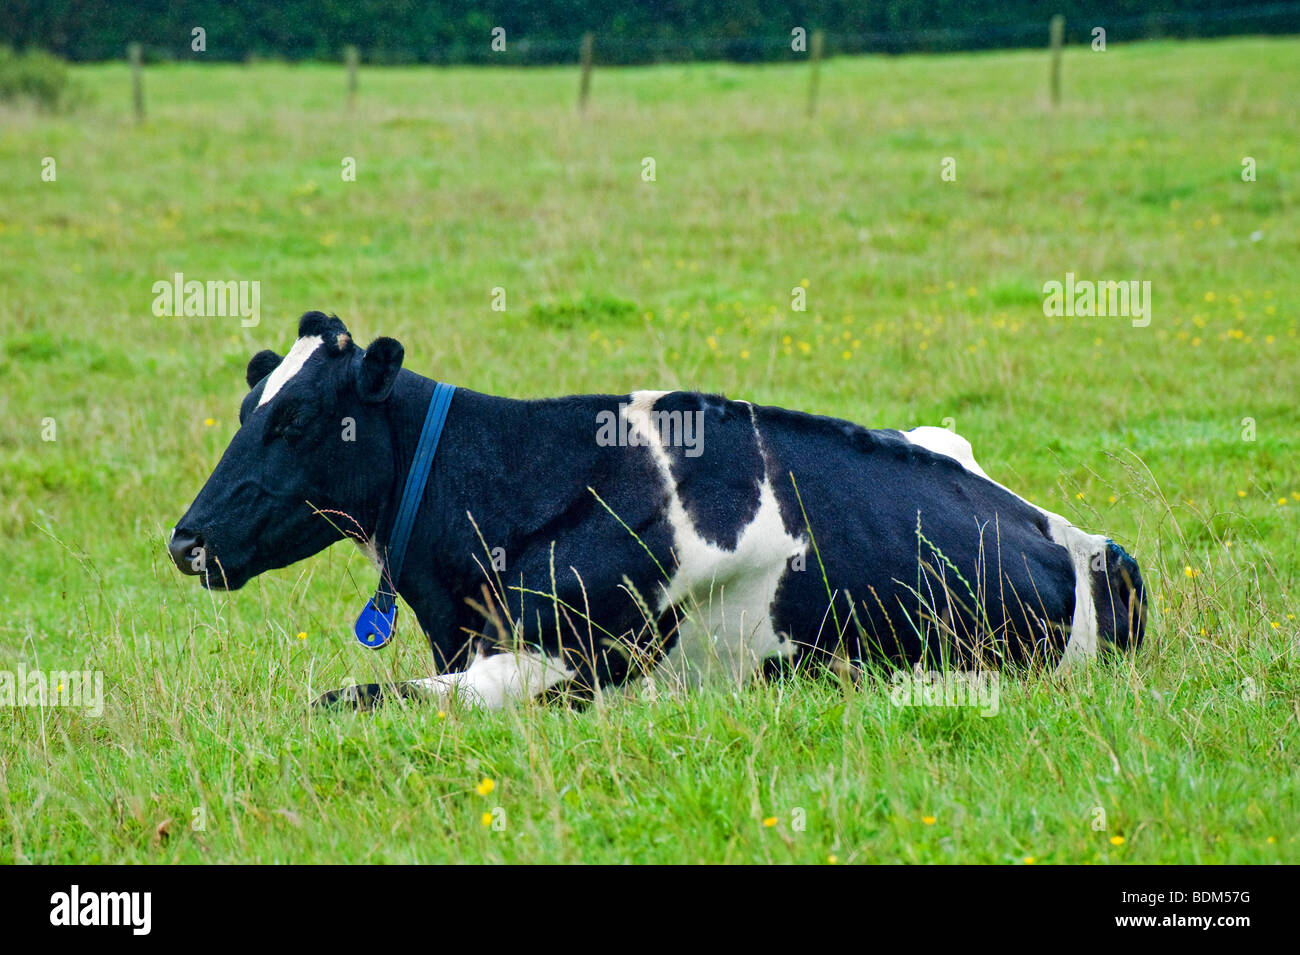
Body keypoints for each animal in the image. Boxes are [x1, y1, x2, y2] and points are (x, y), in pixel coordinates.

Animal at [168, 312, 1146, 709]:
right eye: (248, 407)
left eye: (295, 418)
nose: (186, 539)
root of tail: (1092, 542)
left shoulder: (561, 660)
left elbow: (345, 697)